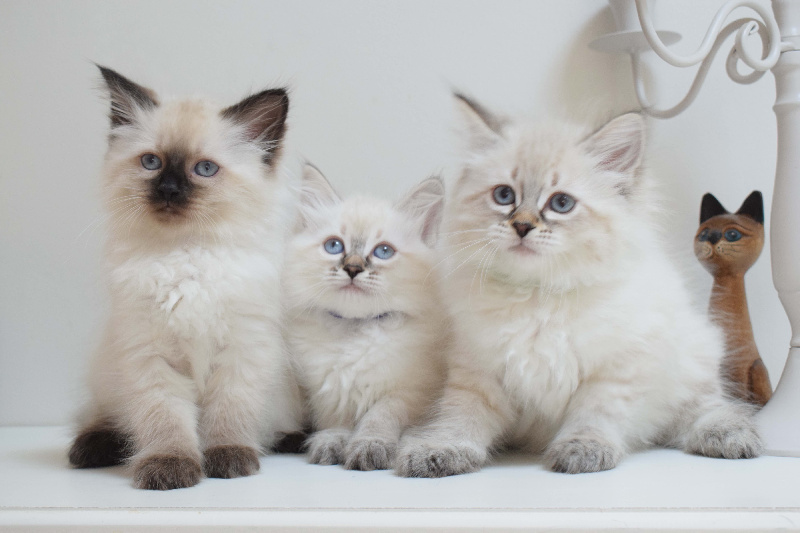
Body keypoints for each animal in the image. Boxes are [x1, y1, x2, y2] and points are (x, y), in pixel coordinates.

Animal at [68, 66, 304, 490]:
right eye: (151, 162)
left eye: (205, 169)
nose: (169, 190)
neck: (186, 254)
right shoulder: (151, 356)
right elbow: (166, 421)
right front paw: (170, 468)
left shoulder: (241, 352)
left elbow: (228, 415)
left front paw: (228, 459)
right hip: (107, 379)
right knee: (104, 419)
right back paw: (90, 449)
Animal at [286, 165, 450, 470]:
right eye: (334, 246)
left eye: (383, 251)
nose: (353, 268)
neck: (356, 331)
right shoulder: (329, 393)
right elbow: (338, 423)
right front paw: (332, 443)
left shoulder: (410, 391)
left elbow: (380, 417)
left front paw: (369, 447)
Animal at [396, 93, 764, 476]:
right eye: (504, 196)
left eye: (561, 203)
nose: (522, 226)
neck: (538, 295)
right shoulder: (478, 370)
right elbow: (460, 417)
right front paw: (439, 450)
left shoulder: (613, 369)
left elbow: (593, 414)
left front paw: (583, 450)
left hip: (696, 358)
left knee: (706, 408)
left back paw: (728, 436)